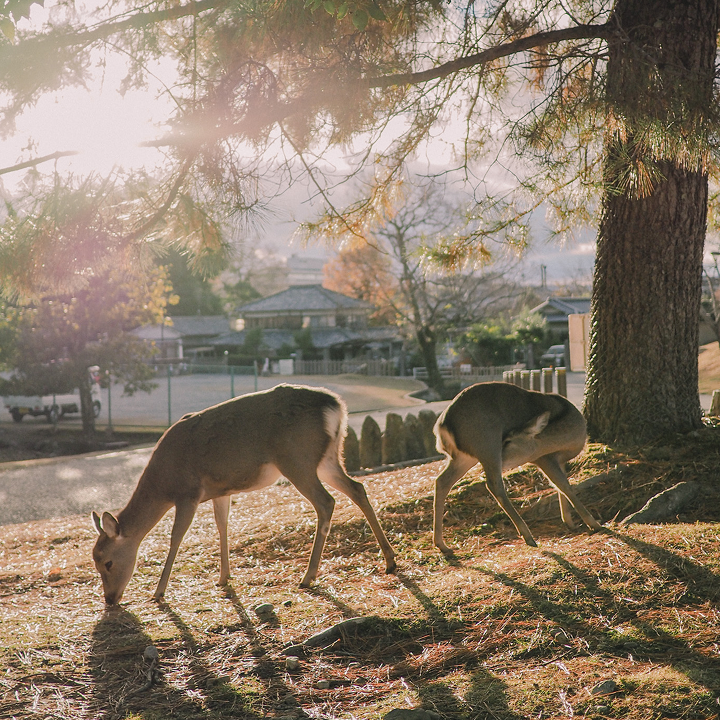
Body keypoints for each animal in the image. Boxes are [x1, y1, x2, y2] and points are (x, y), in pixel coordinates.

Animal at [90, 386, 396, 604]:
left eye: (107, 562)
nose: (110, 600)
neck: (162, 484)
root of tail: (337, 408)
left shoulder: (188, 492)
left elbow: (176, 538)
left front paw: (158, 591)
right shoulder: (220, 490)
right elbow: (222, 525)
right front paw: (224, 577)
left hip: (297, 458)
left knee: (326, 502)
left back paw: (308, 576)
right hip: (329, 457)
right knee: (358, 488)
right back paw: (390, 561)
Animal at [430, 382, 600, 552]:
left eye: (509, 440)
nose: (502, 454)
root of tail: (442, 426)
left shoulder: (558, 461)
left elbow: (559, 486)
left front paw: (569, 521)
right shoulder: (543, 458)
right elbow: (564, 486)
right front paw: (594, 524)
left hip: (464, 457)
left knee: (442, 481)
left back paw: (442, 544)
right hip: (487, 446)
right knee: (494, 485)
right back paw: (528, 536)